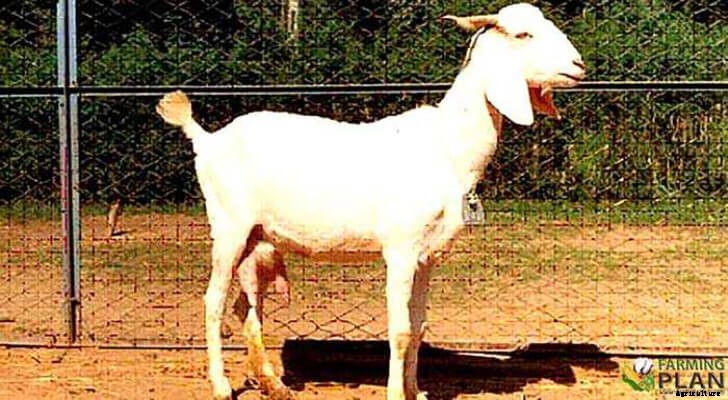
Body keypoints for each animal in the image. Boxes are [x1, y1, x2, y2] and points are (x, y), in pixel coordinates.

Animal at [156, 3, 585, 399]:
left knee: (246, 306)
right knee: (213, 302)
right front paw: (396, 393)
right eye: (523, 34)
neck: (446, 148)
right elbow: (400, 330)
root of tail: (207, 138)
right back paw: (221, 386)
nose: (578, 65)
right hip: (228, 226)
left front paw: (417, 391)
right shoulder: (401, 249)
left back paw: (273, 384)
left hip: (256, 237)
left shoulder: (427, 256)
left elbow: (419, 326)